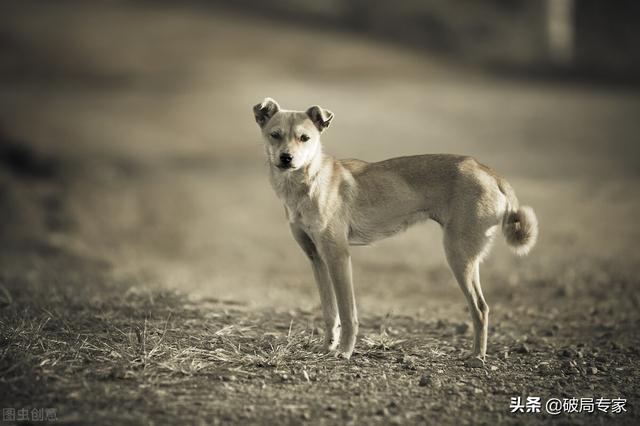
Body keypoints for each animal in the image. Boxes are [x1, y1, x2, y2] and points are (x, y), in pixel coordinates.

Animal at [252, 97, 536, 362]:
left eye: (304, 138)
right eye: (275, 135)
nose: (286, 158)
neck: (308, 181)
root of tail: (486, 170)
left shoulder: (338, 256)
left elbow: (347, 313)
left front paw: (344, 352)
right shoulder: (316, 258)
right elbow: (330, 312)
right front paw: (327, 348)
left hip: (458, 255)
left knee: (480, 308)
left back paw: (477, 356)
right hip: (464, 257)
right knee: (482, 308)